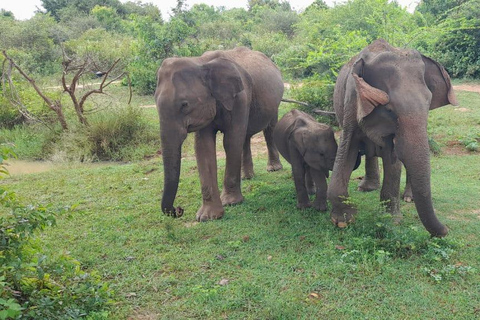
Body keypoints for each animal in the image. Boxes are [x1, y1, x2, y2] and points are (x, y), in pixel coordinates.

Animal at [157, 47, 284, 221]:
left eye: (185, 105)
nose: (179, 209)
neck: (200, 62)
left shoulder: (240, 97)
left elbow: (231, 141)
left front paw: (231, 202)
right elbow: (204, 148)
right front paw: (207, 217)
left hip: (274, 102)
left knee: (269, 129)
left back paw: (273, 169)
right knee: (245, 137)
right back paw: (246, 177)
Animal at [326, 38, 458, 236]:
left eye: (428, 105)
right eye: (389, 109)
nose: (446, 231)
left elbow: (393, 159)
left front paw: (391, 220)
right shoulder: (351, 102)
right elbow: (346, 150)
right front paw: (342, 221)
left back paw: (408, 198)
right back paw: (367, 188)